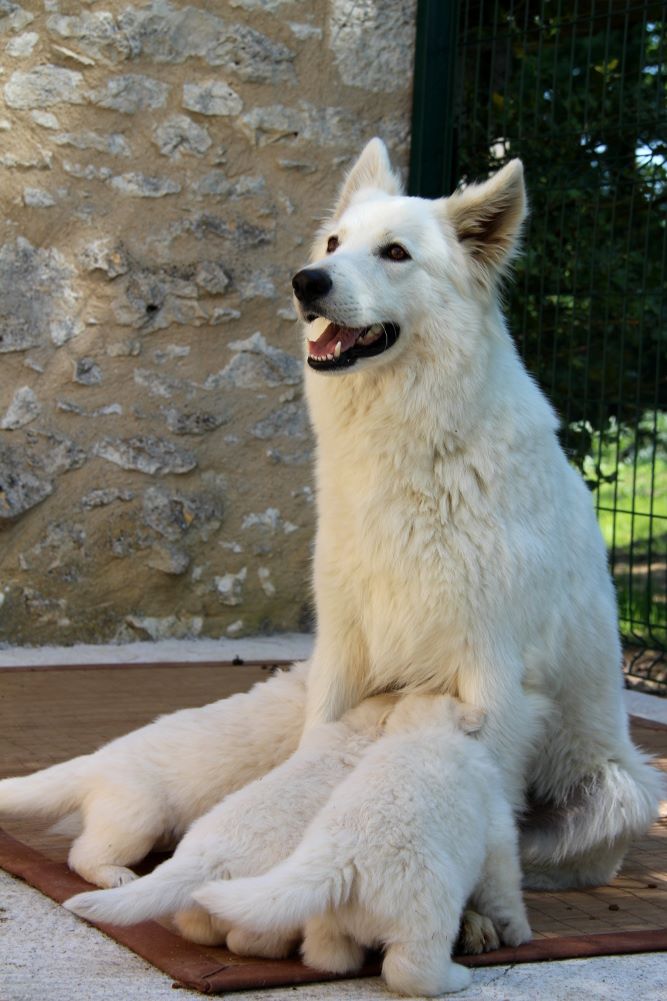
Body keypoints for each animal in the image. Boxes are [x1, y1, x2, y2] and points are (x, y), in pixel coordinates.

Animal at [192, 692, 528, 996]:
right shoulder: (494, 812)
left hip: (325, 912)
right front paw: (519, 933)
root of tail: (344, 859)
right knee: (412, 966)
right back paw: (454, 978)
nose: (483, 712)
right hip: (427, 899)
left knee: (327, 953)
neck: (420, 731)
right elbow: (502, 876)